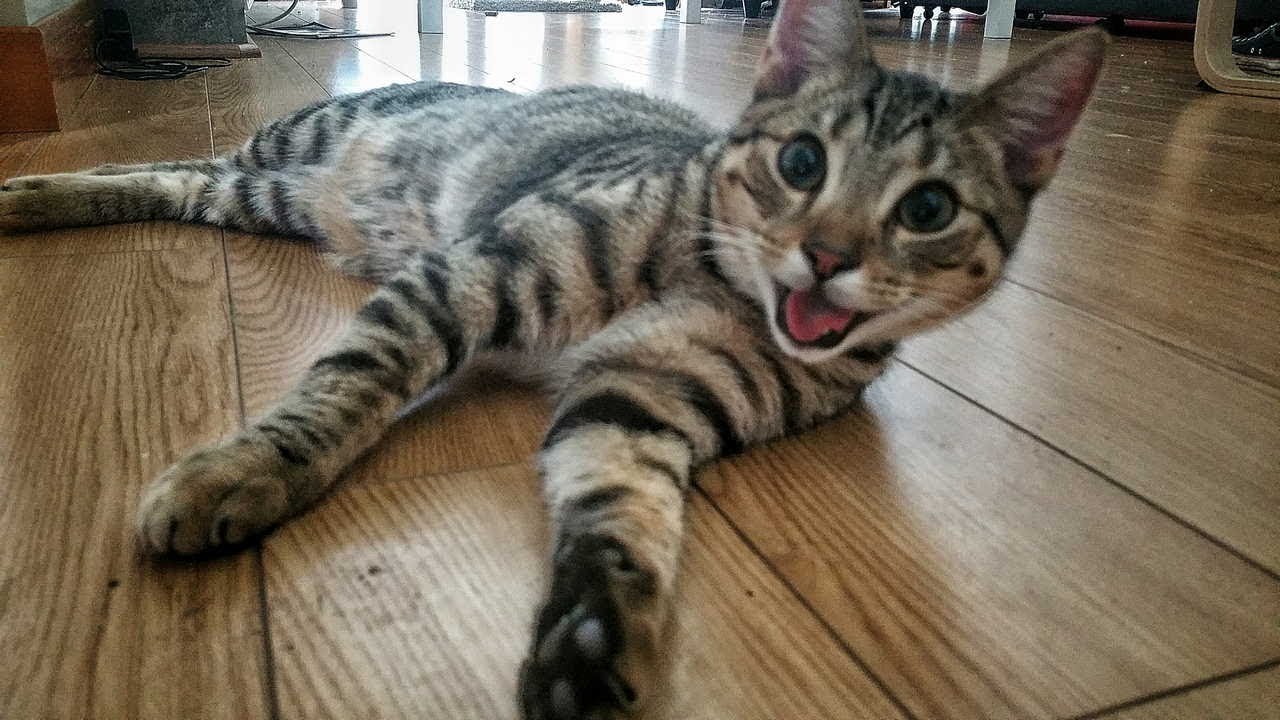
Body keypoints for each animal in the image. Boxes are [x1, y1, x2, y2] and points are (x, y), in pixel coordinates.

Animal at [0, 0, 1105, 717]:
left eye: (927, 208)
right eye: (802, 163)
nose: (829, 258)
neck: (717, 285)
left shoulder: (639, 397)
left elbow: (618, 518)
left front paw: (592, 640)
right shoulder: (469, 275)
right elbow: (349, 381)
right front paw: (244, 467)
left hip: (267, 197)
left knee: (182, 182)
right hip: (284, 152)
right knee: (167, 162)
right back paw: (32, 192)